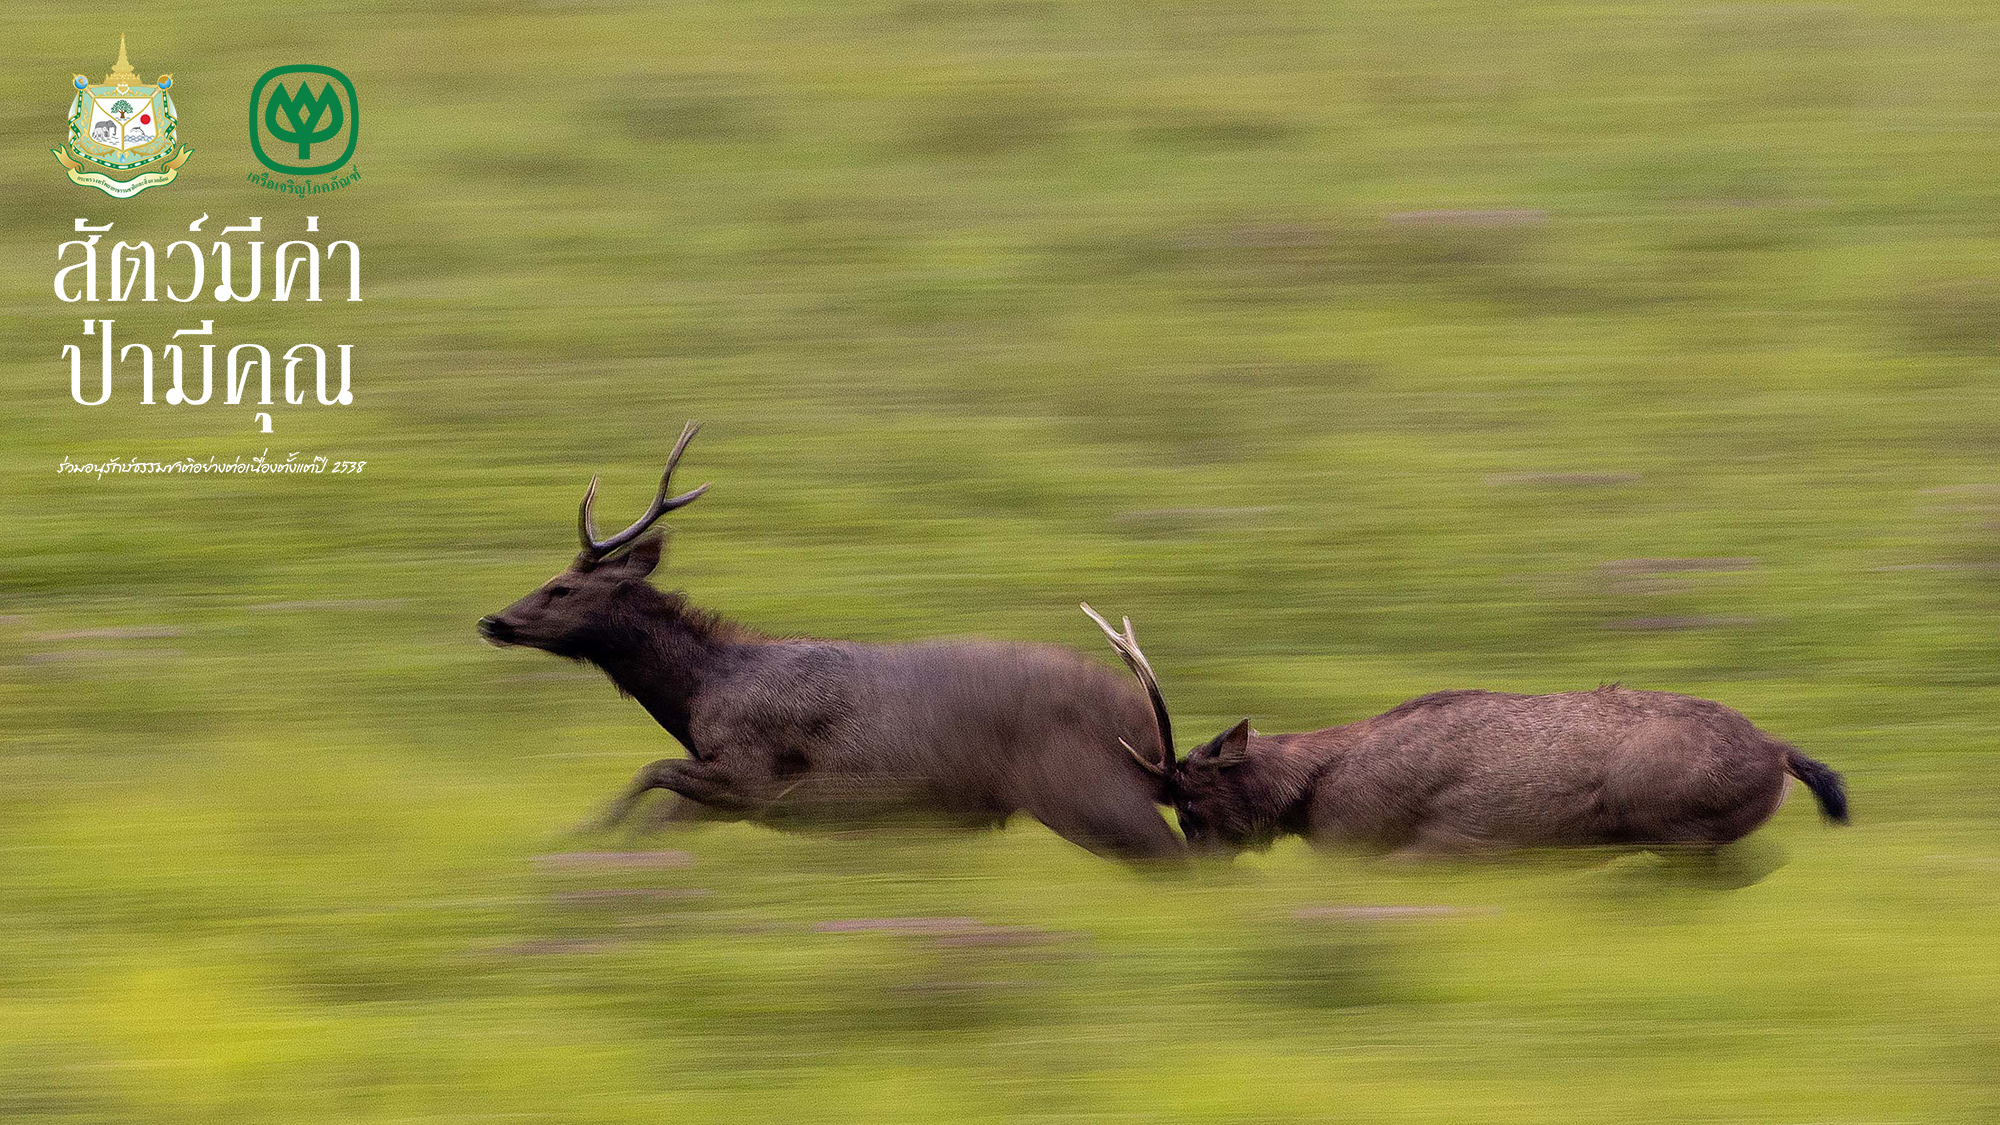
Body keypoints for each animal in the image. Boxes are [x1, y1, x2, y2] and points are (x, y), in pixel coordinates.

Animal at [474, 424, 1176, 852]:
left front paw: (580, 838)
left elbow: (649, 775)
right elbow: (659, 805)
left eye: (562, 588)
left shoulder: (754, 773)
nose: (491, 621)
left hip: (1084, 789)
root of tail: (1146, 726)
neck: (699, 694)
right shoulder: (731, 795)